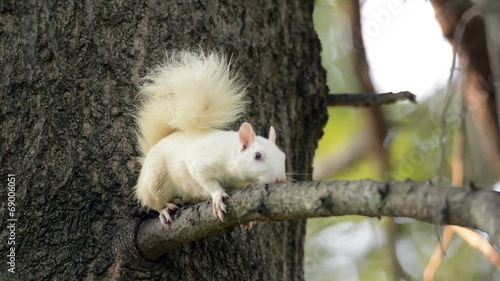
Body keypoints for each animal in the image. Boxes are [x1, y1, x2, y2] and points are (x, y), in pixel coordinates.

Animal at [135, 50, 288, 225]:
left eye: (283, 156)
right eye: (257, 156)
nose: (280, 180)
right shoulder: (202, 161)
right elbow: (204, 178)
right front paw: (217, 196)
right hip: (155, 179)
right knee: (153, 201)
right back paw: (165, 209)